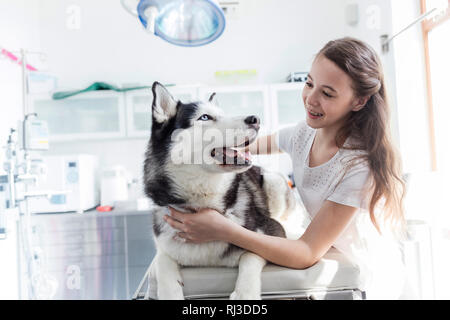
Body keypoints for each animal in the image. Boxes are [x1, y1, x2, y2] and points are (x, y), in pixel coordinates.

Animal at [144, 82, 302, 300]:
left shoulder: (273, 232)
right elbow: (162, 259)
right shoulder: (165, 240)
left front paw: (245, 293)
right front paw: (168, 290)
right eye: (204, 117)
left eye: (223, 114)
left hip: (274, 182)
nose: (256, 119)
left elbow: (252, 252)